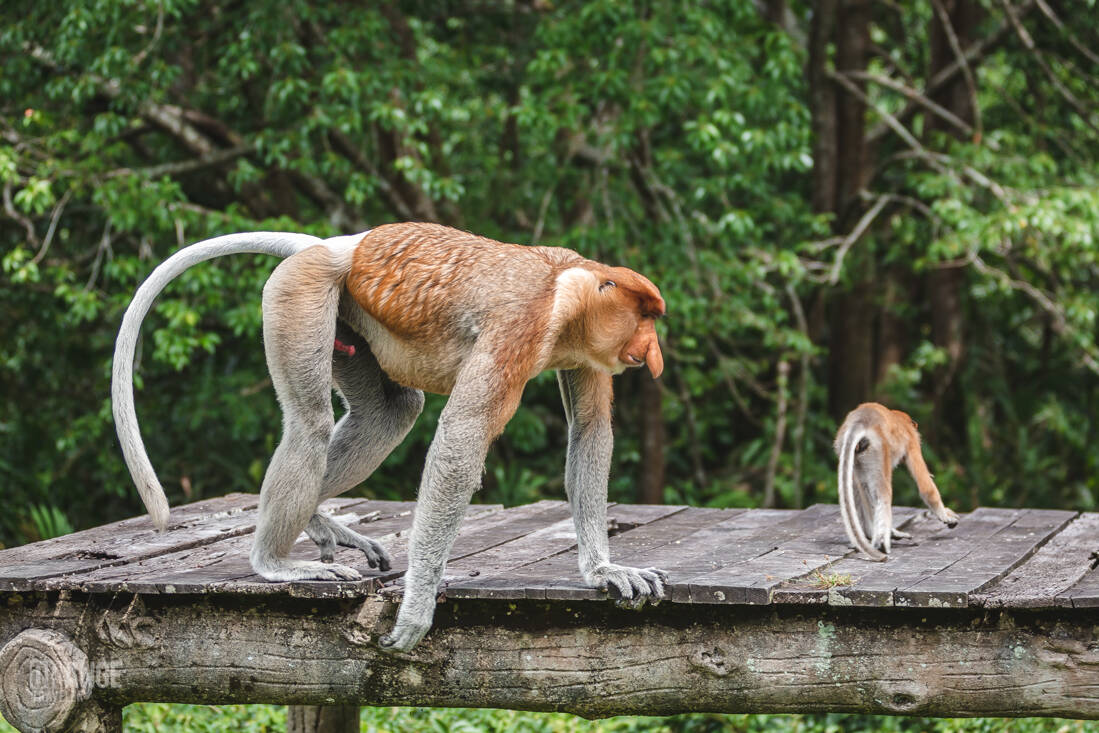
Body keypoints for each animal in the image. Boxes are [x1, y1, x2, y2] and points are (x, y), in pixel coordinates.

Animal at [112, 222, 668, 652]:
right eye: (643, 316)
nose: (653, 354)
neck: (568, 288)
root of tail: (338, 245)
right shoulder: (520, 324)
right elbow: (461, 437)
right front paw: (418, 605)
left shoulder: (585, 352)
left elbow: (590, 431)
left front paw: (605, 571)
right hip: (302, 294)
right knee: (311, 423)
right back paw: (273, 563)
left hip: (348, 323)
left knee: (388, 414)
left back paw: (319, 523)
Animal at [833, 402, 959, 561]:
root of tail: (861, 421)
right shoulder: (912, 440)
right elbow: (924, 483)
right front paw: (945, 516)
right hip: (878, 450)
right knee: (883, 493)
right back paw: (882, 540)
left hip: (849, 450)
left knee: (856, 486)